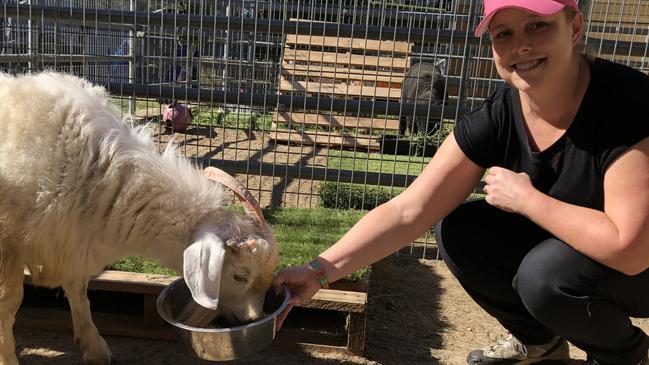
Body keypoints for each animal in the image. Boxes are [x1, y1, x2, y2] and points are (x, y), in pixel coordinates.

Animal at [0, 72, 278, 364]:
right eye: (239, 277)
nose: (254, 318)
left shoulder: (72, 239)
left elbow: (79, 291)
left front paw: (94, 347)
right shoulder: (9, 241)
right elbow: (8, 303)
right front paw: (7, 357)